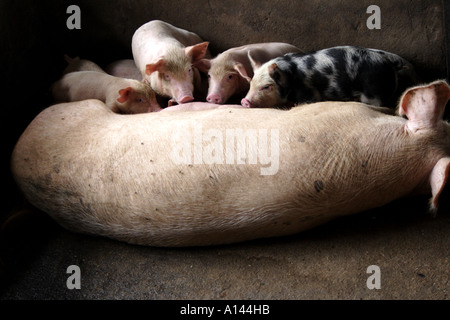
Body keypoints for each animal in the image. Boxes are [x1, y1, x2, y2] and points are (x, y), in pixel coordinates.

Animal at [243, 45, 418, 109]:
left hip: (374, 92)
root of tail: (389, 61)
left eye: (267, 86)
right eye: (250, 84)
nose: (244, 101)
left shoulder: (309, 93)